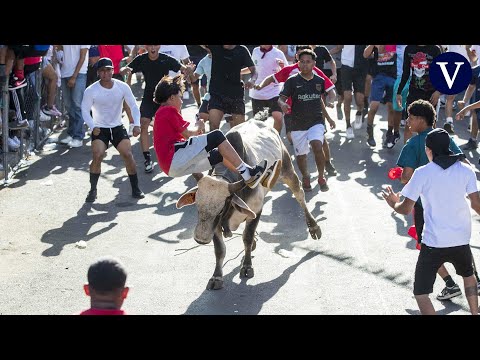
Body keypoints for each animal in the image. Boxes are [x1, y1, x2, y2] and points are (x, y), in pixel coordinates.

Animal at [174, 121, 320, 290]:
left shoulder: (255, 211)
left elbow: (247, 238)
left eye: (221, 210)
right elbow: (220, 250)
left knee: (300, 197)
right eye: (197, 205)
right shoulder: (215, 225)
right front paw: (216, 277)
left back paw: (314, 227)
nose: (200, 239)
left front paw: (247, 266)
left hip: (288, 171)